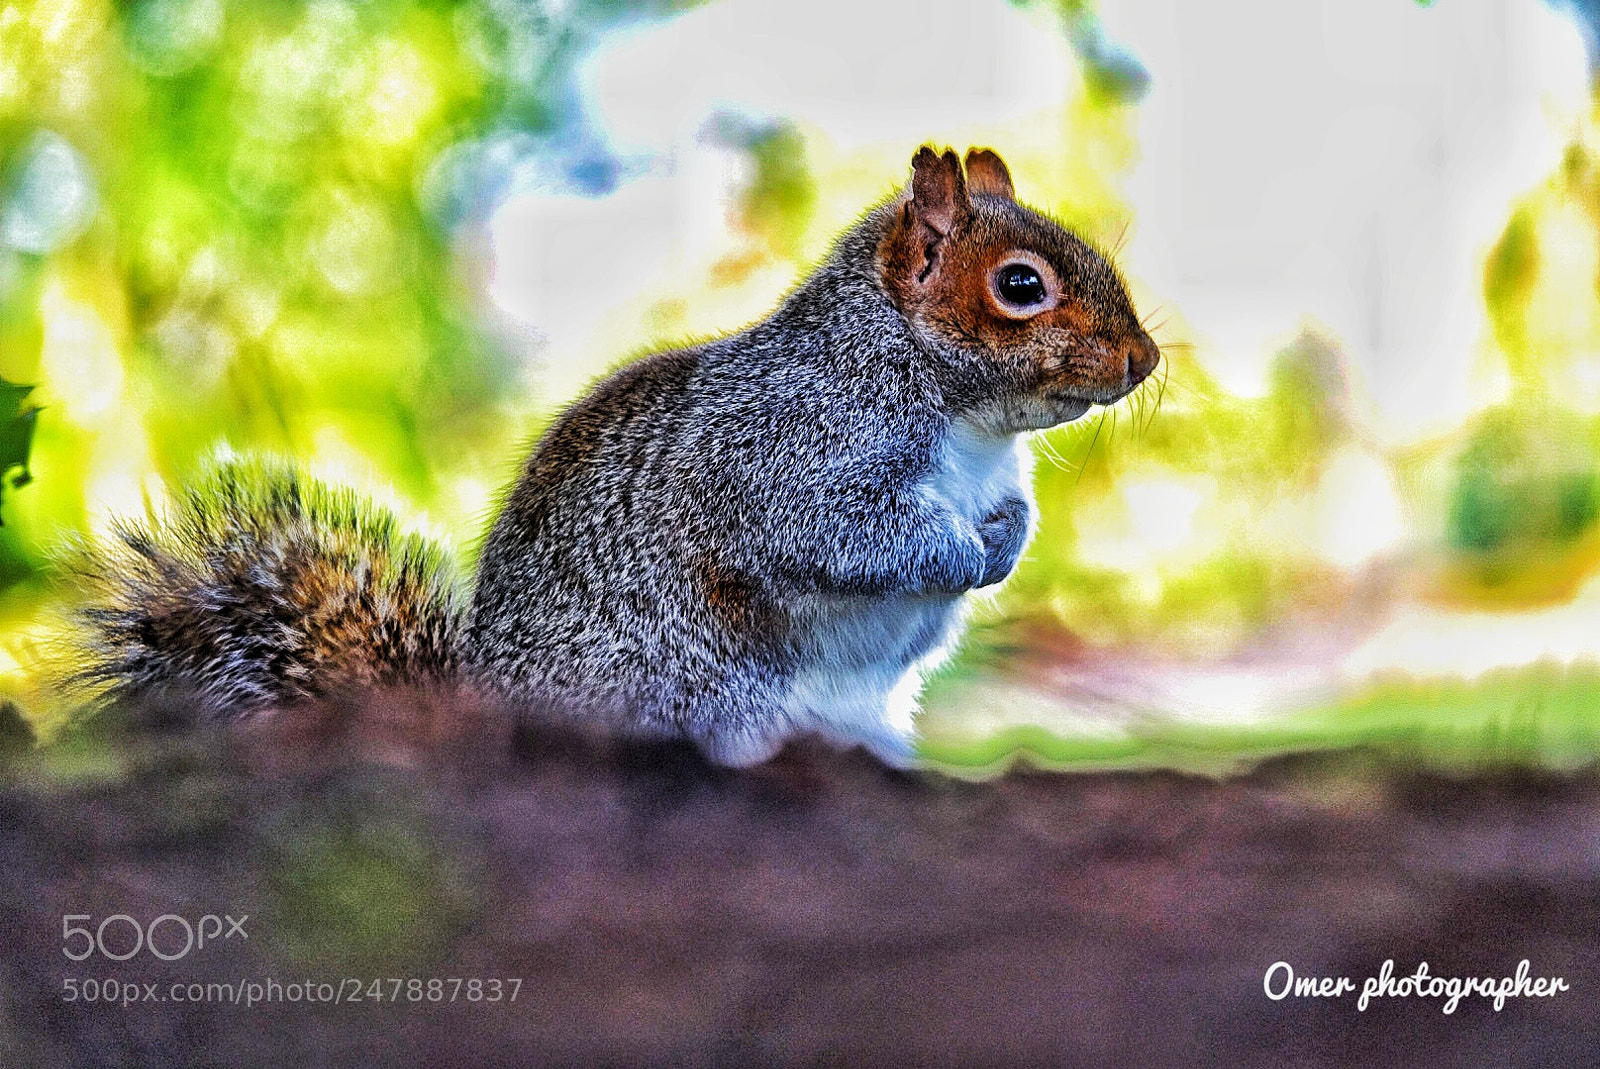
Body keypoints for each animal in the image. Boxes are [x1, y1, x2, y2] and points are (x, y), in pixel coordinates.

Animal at [65, 147, 1159, 766]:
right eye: (1020, 285)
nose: (1144, 359)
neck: (972, 428)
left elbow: (1010, 512)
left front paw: (1004, 541)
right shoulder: (789, 452)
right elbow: (842, 533)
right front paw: (959, 555)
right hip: (701, 692)